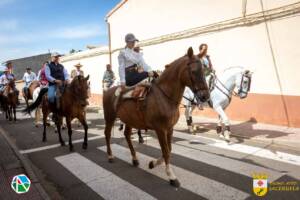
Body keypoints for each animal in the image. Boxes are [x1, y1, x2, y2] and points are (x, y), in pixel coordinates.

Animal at [102, 47, 209, 188]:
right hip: (109, 117)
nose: (205, 96)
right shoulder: (160, 130)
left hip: (129, 120)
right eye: (193, 71)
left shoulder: (169, 129)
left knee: (127, 135)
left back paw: (134, 159)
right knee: (107, 134)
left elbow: (168, 150)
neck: (165, 96)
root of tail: (108, 90)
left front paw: (153, 164)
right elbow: (166, 151)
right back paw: (110, 156)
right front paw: (171, 176)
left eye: (204, 70)